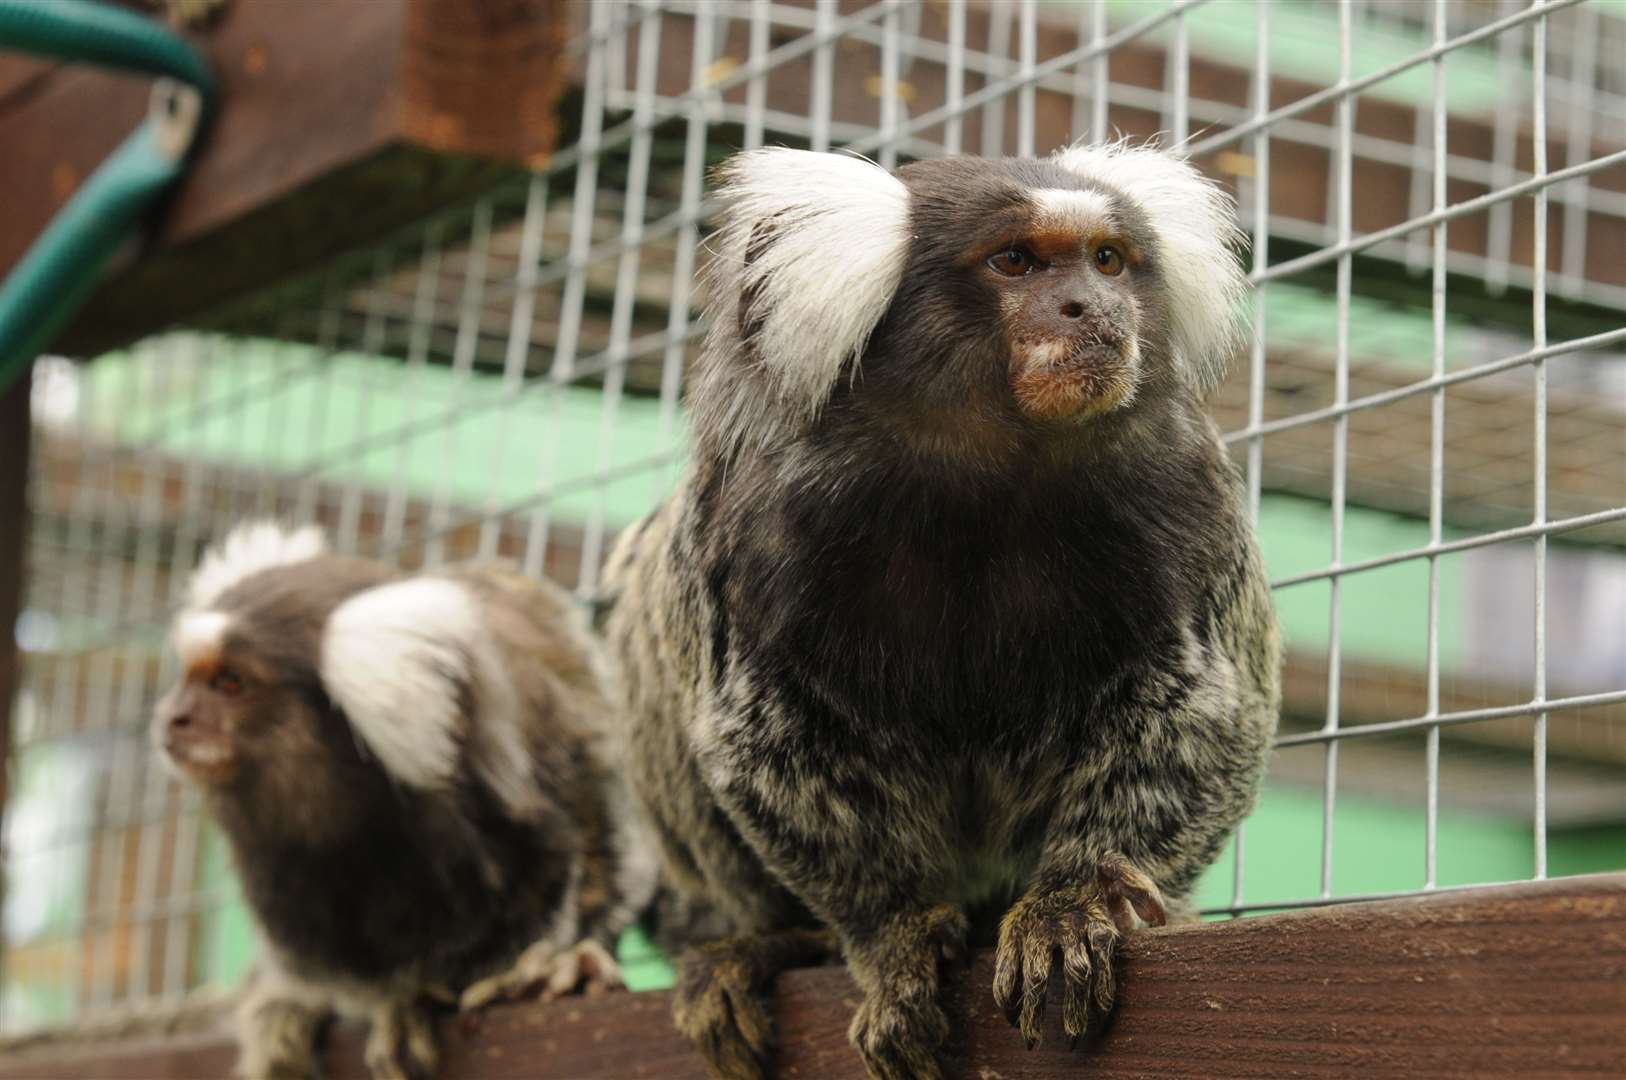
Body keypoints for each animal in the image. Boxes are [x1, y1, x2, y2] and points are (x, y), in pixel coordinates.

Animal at [152, 520, 656, 1073]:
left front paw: (555, 961)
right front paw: (400, 999)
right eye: (189, 677)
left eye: (230, 682)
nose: (172, 716)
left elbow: (600, 841)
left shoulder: (559, 750)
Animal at [608, 143, 1281, 1080]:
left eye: (1108, 260)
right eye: (1017, 262)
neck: (981, 473)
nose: (1092, 307)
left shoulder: (1187, 486)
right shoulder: (746, 514)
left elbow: (1204, 719)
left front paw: (1076, 901)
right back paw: (774, 944)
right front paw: (891, 938)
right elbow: (765, 742)